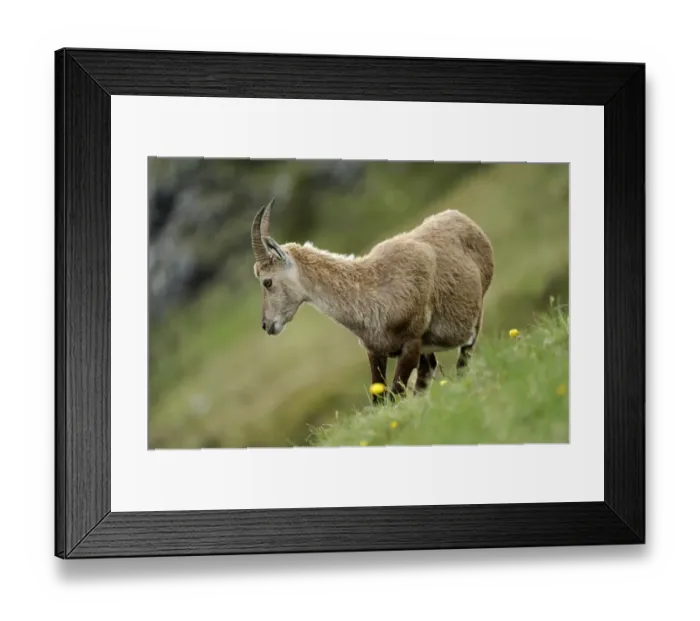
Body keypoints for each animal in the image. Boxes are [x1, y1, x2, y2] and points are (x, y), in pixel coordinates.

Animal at [251, 198, 494, 402]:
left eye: (267, 282)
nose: (266, 324)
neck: (371, 290)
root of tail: (463, 219)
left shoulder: (411, 344)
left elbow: (395, 393)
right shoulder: (375, 351)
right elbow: (380, 398)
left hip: (475, 317)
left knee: (463, 361)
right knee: (427, 373)